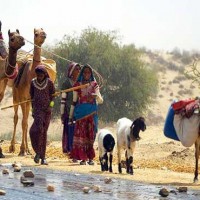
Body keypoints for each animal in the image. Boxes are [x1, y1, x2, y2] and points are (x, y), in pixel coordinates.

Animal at [9, 28, 48, 156]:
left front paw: (26, 149)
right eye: (36, 34)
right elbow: (22, 121)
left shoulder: (31, 99)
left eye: (43, 31)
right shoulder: (22, 98)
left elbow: (26, 122)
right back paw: (13, 147)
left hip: (27, 102)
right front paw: (21, 149)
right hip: (16, 97)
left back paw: (28, 149)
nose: (44, 35)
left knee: (25, 121)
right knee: (16, 118)